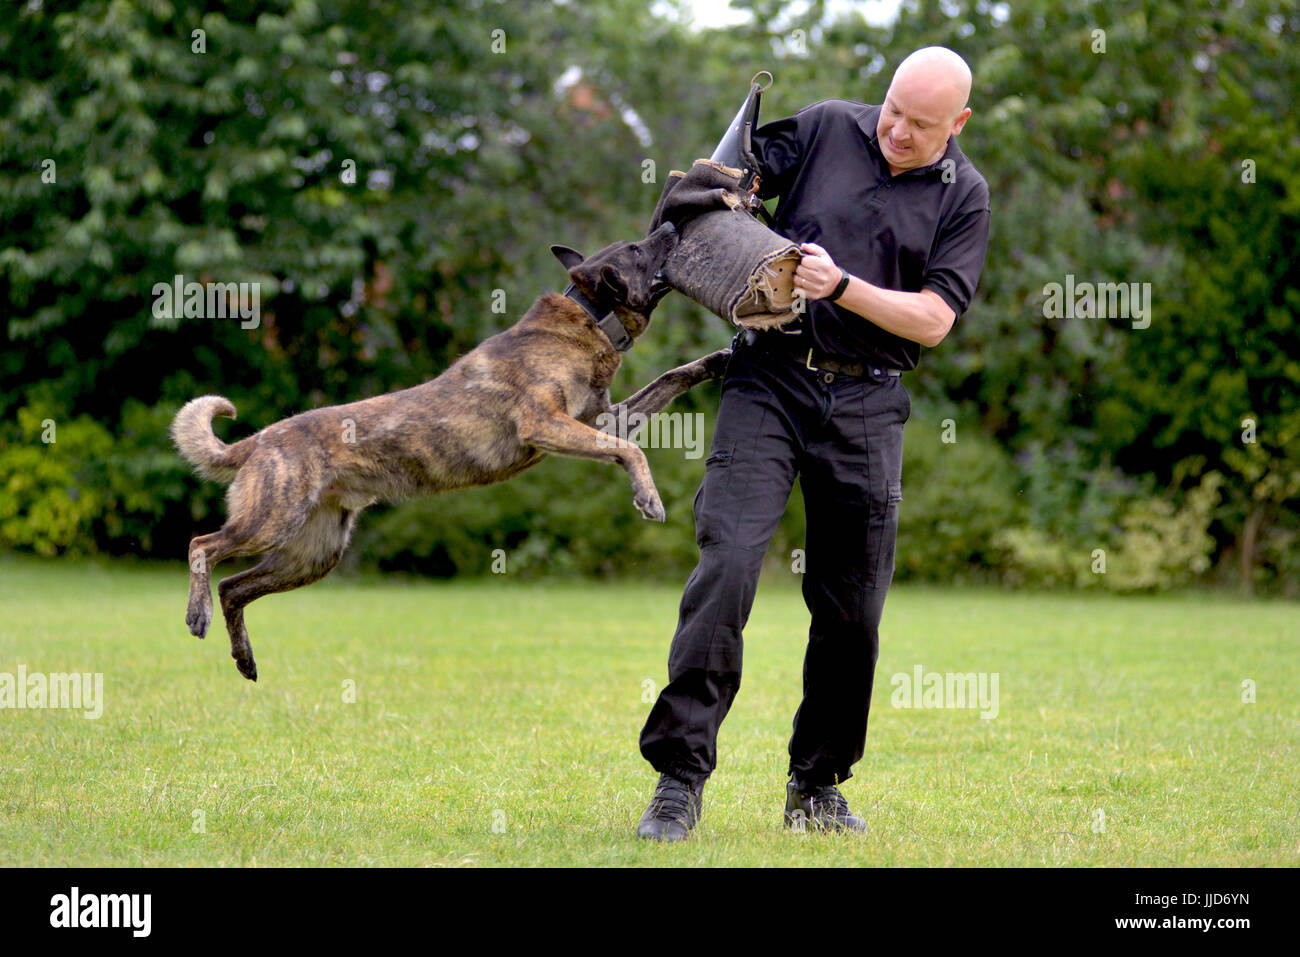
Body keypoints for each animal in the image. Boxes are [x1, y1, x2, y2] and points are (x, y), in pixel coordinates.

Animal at [172, 221, 733, 686]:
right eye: (637, 249)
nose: (670, 224)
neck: (587, 320)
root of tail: (259, 440)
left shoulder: (602, 419)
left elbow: (669, 380)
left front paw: (716, 360)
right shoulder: (548, 425)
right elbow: (630, 452)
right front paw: (649, 498)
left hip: (311, 555)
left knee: (234, 588)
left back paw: (244, 658)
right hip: (271, 521)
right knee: (202, 545)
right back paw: (196, 615)